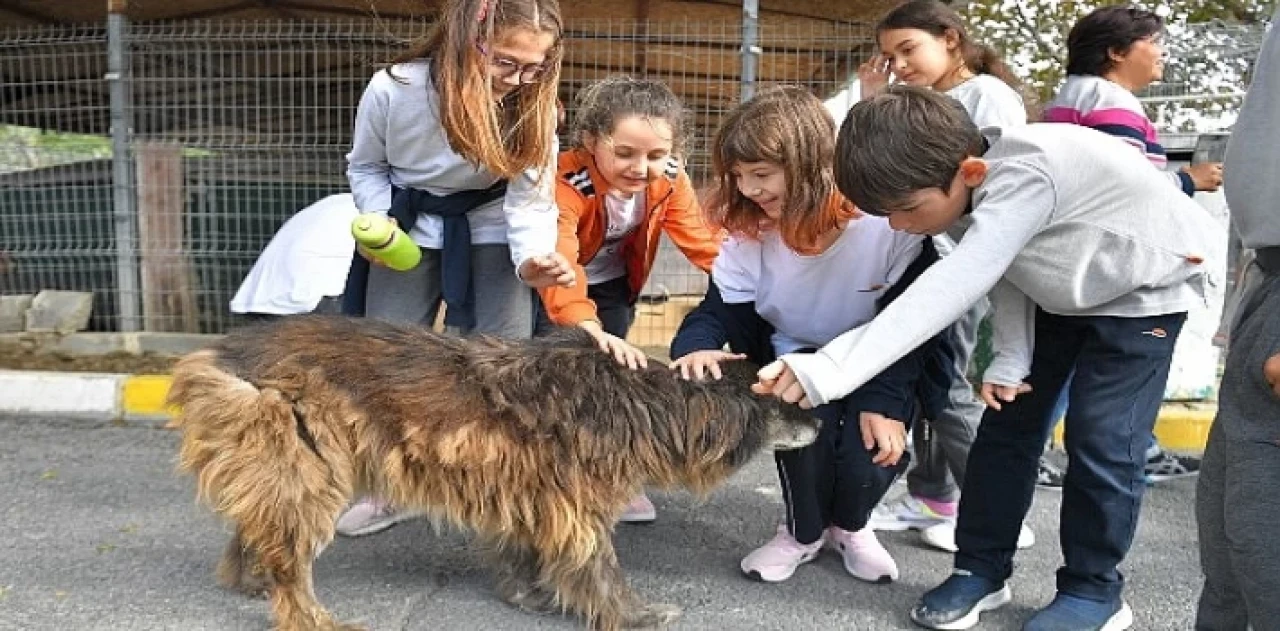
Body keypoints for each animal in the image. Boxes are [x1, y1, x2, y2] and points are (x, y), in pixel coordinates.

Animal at [167, 314, 819, 629]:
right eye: (781, 398)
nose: (819, 423)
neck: (643, 399)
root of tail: (223, 353)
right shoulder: (575, 506)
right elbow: (598, 568)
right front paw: (633, 616)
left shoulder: (526, 492)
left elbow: (519, 552)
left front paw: (525, 595)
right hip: (308, 469)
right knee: (290, 562)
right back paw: (312, 618)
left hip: (289, 467)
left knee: (259, 529)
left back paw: (247, 579)